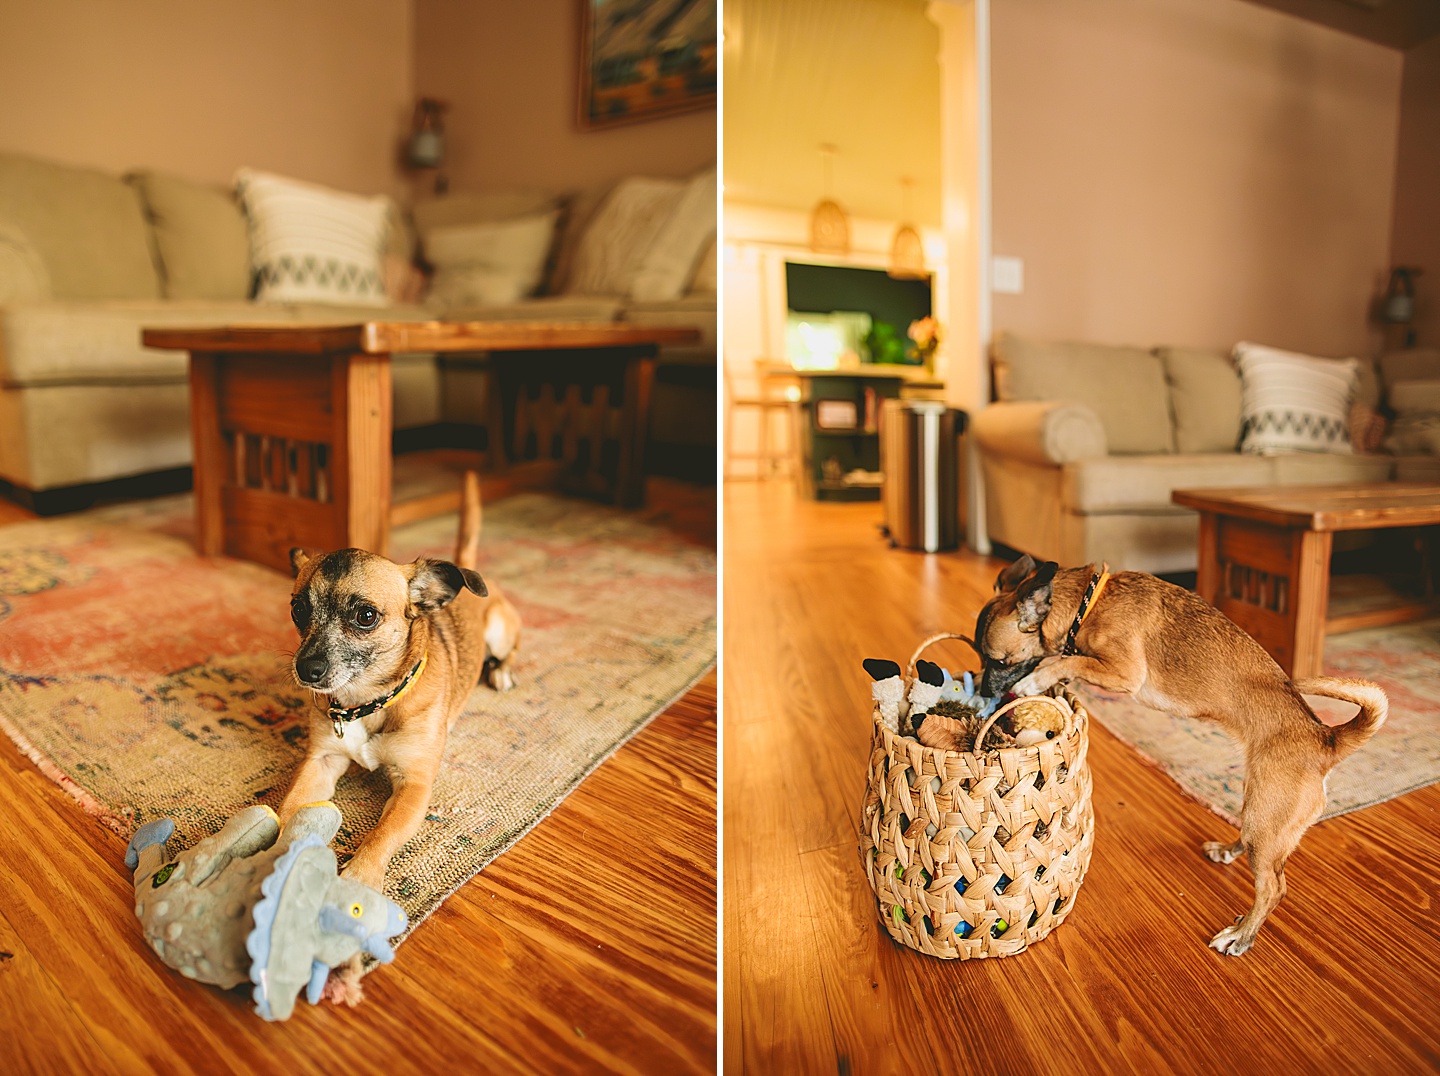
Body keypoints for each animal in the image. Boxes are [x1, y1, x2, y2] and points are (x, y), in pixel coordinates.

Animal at [277, 475, 521, 996]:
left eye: (365, 616)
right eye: (298, 609)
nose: (307, 670)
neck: (366, 702)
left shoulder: (413, 787)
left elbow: (381, 835)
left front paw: (355, 882)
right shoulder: (320, 762)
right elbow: (291, 814)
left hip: (503, 632)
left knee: (509, 652)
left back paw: (502, 671)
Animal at [938, 558, 1388, 956]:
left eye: (999, 661)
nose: (985, 694)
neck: (1089, 604)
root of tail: (1326, 738)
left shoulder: (1123, 673)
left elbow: (1068, 659)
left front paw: (1039, 678)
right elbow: (1070, 661)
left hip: (1266, 816)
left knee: (1273, 888)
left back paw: (1241, 936)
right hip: (1260, 812)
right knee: (1256, 851)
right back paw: (1228, 852)